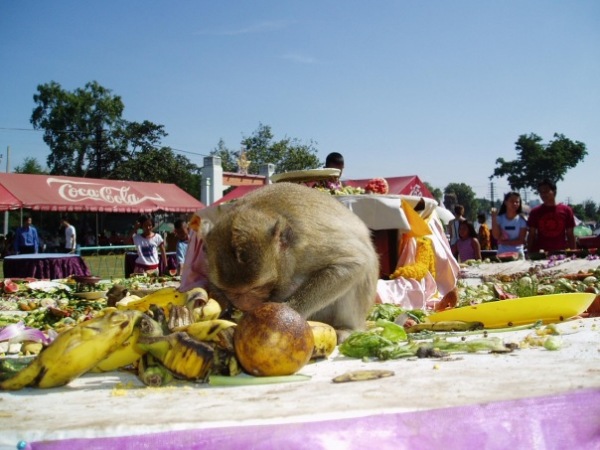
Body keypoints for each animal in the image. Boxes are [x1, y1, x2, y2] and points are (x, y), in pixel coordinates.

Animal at [204, 182, 378, 338]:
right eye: (231, 292)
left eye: (256, 288)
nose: (244, 305)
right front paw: (225, 309)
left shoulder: (307, 244)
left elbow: (354, 261)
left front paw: (289, 311)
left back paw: (346, 328)